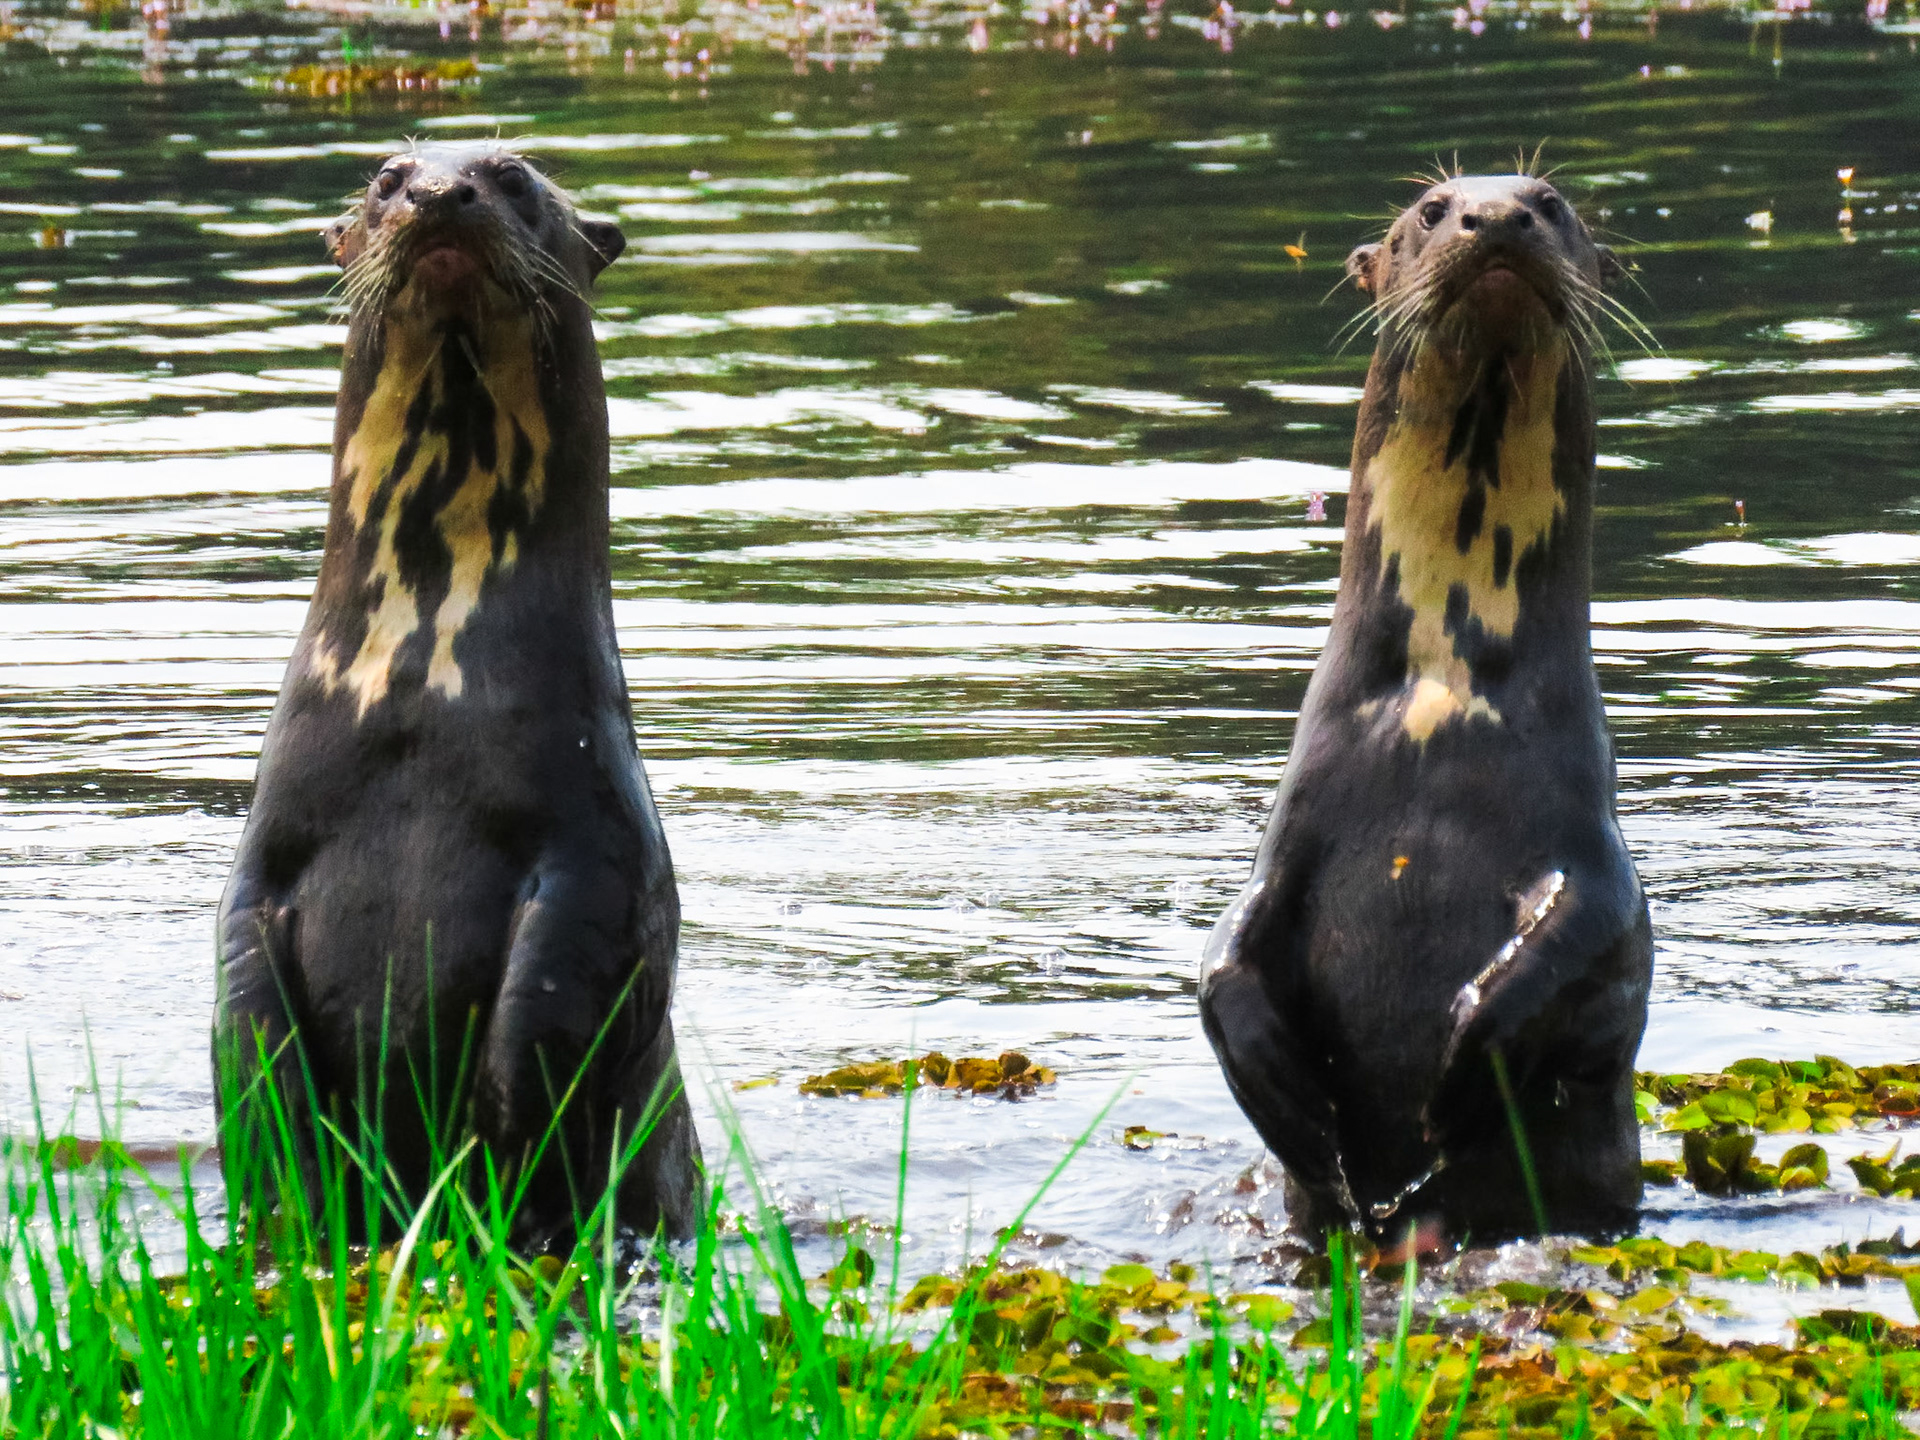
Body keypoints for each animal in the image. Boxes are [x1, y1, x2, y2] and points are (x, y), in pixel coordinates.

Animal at [214, 143, 699, 1242]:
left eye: (515, 175)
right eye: (388, 176)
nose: (442, 192)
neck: (420, 688)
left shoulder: (599, 848)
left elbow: (550, 1014)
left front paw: (498, 1174)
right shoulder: (267, 848)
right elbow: (244, 1010)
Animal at [1200, 172, 1651, 1247]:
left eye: (1551, 201)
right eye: (1434, 208)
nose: (1499, 217)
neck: (1442, 702)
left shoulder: (1590, 837)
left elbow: (1604, 936)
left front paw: (1468, 1061)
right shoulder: (1293, 831)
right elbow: (1223, 947)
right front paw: (1288, 1102)